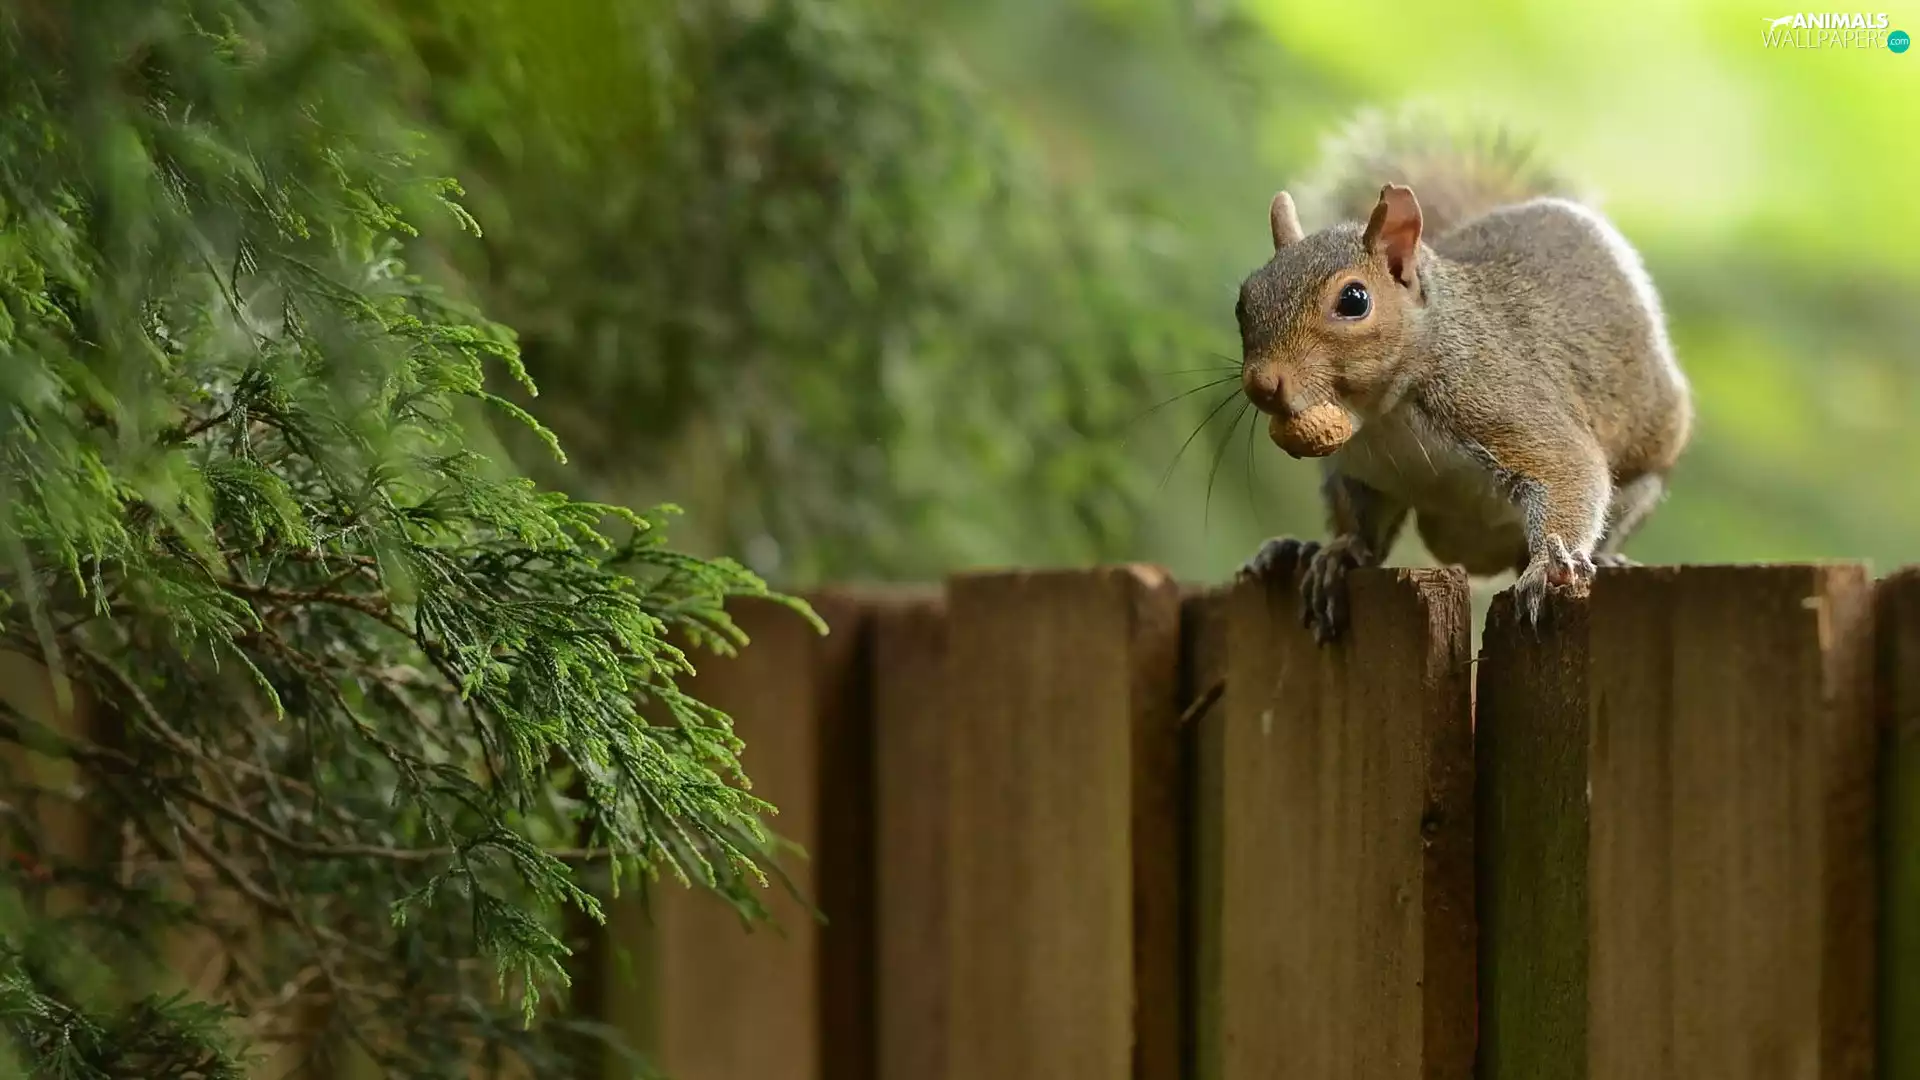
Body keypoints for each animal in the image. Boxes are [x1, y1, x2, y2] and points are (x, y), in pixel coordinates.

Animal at [1232, 106, 1693, 641]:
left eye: (1354, 300)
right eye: (1244, 301)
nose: (1263, 384)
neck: (1384, 414)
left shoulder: (1504, 401)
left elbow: (1569, 470)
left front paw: (1549, 567)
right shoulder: (1359, 474)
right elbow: (1364, 529)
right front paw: (1339, 555)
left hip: (1641, 476)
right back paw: (1295, 551)